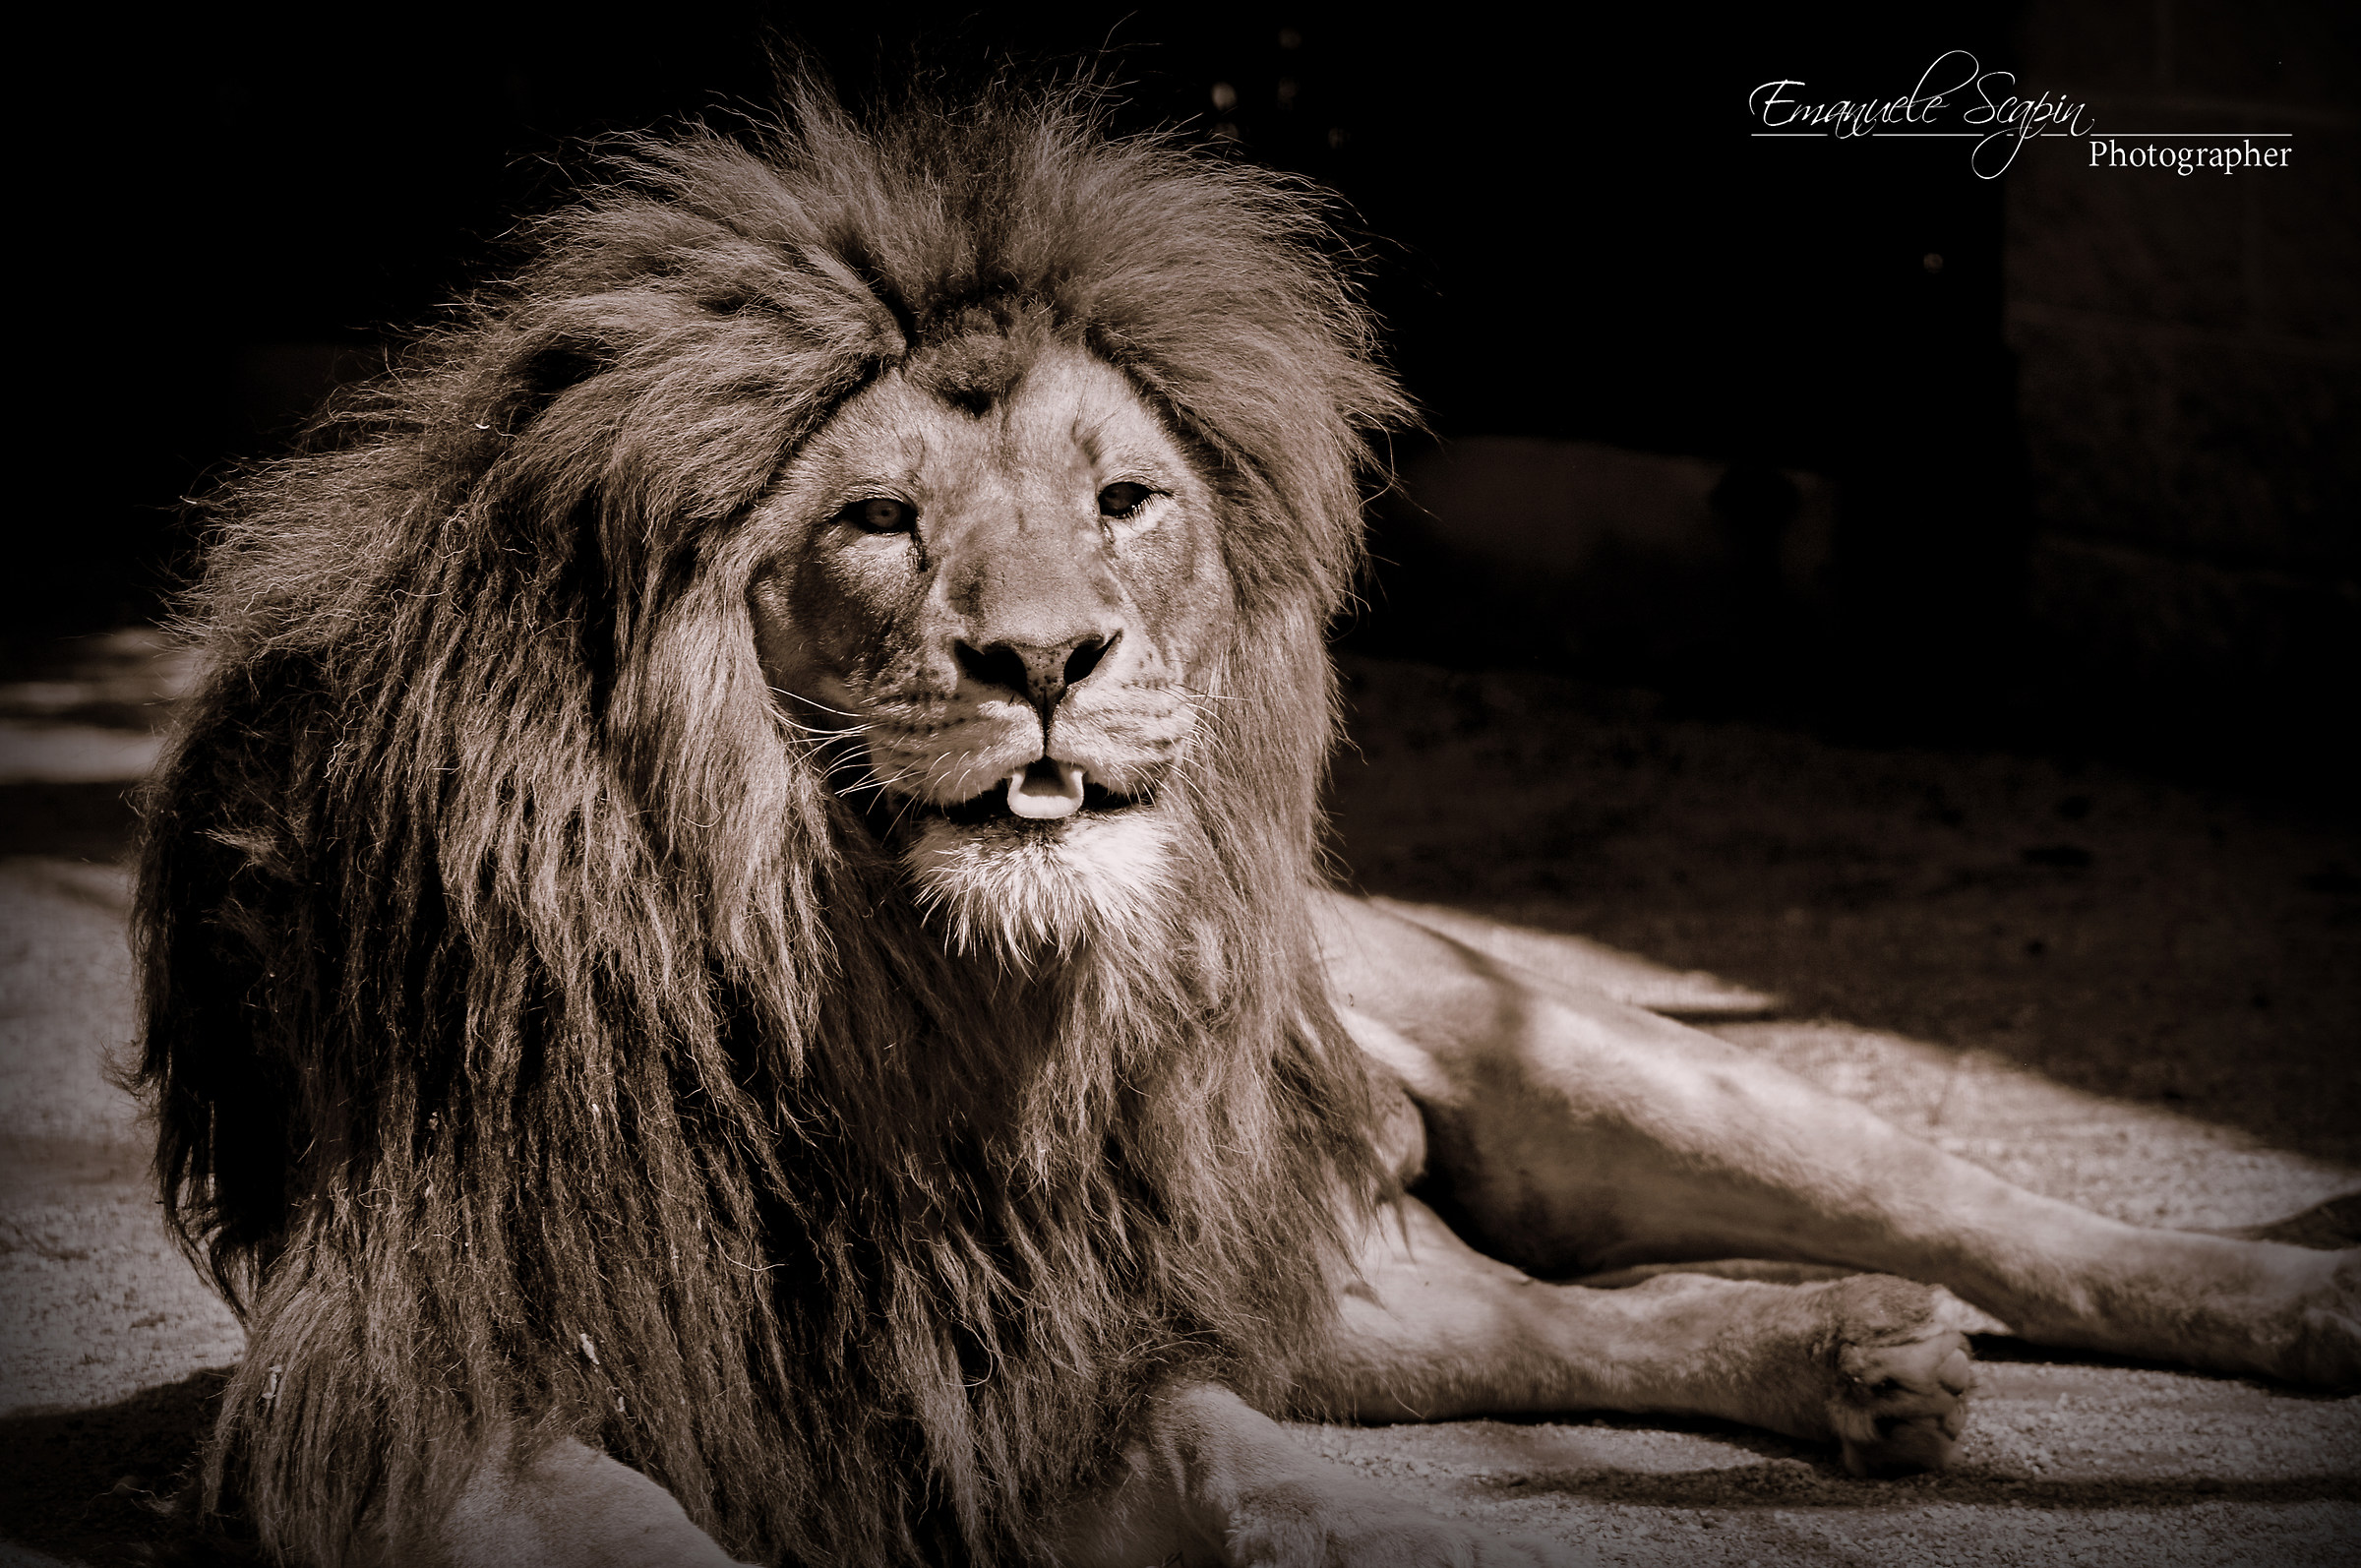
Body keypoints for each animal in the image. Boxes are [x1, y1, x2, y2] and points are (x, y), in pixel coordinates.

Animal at [133, 77, 2358, 1567]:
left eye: (1125, 497)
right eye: (877, 520)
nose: (1049, 654)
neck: (881, 1001)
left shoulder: (1074, 1346)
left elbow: (1254, 1471)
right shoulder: (431, 1394)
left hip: (1552, 1058)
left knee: (1992, 1215)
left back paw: (2272, 1300)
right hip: (1328, 1266)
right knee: (1555, 1320)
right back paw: (1852, 1353)